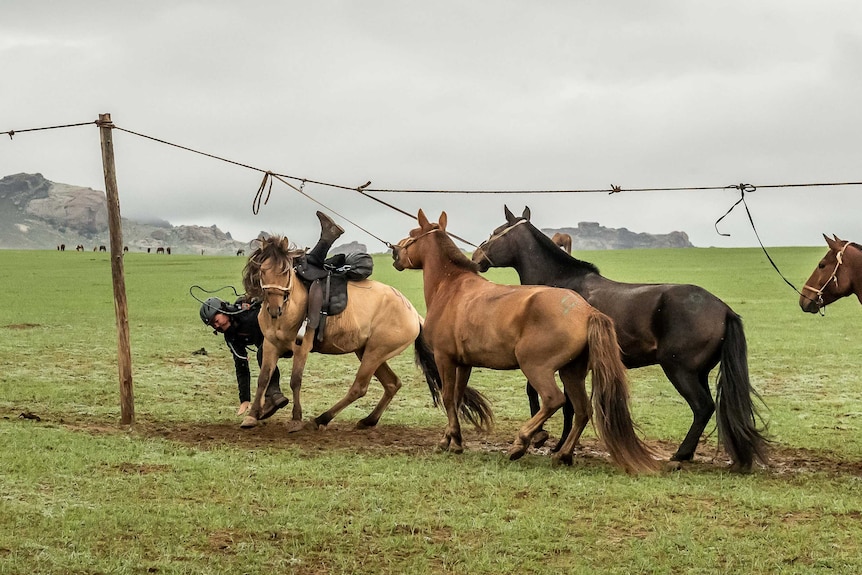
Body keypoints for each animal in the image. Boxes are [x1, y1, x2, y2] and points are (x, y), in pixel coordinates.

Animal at [240, 234, 492, 432]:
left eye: (285, 271)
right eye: (262, 271)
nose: (275, 308)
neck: (292, 305)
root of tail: (413, 314)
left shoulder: (302, 347)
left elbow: (295, 380)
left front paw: (296, 419)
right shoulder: (271, 344)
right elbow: (263, 378)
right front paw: (251, 416)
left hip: (374, 353)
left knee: (360, 387)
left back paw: (322, 419)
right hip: (368, 352)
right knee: (392, 384)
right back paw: (368, 420)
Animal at [394, 209, 660, 474]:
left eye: (411, 234)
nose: (395, 252)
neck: (452, 287)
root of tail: (585, 311)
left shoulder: (444, 358)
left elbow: (449, 397)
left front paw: (451, 442)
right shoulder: (464, 363)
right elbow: (458, 398)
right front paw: (451, 439)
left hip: (536, 367)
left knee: (554, 400)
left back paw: (521, 442)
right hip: (571, 372)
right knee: (583, 410)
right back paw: (562, 454)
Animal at [472, 206, 768, 472]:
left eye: (496, 232)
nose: (476, 257)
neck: (561, 286)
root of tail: (724, 310)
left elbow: (551, 398)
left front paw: (545, 440)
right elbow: (568, 404)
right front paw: (556, 444)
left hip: (679, 370)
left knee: (702, 407)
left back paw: (680, 456)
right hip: (699, 373)